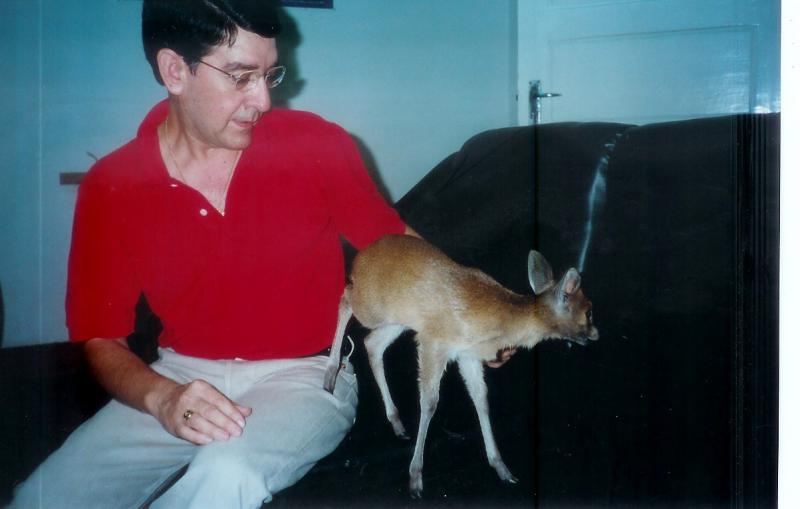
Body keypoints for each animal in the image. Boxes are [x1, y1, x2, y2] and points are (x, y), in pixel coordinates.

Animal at [323, 234, 599, 497]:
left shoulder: (468, 356)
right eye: (589, 311)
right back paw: (330, 376)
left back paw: (397, 422)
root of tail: (360, 260)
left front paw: (501, 467)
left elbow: (481, 399)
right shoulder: (433, 342)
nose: (595, 334)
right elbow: (430, 403)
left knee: (371, 343)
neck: (500, 322)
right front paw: (415, 477)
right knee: (346, 300)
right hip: (372, 308)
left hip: (397, 320)